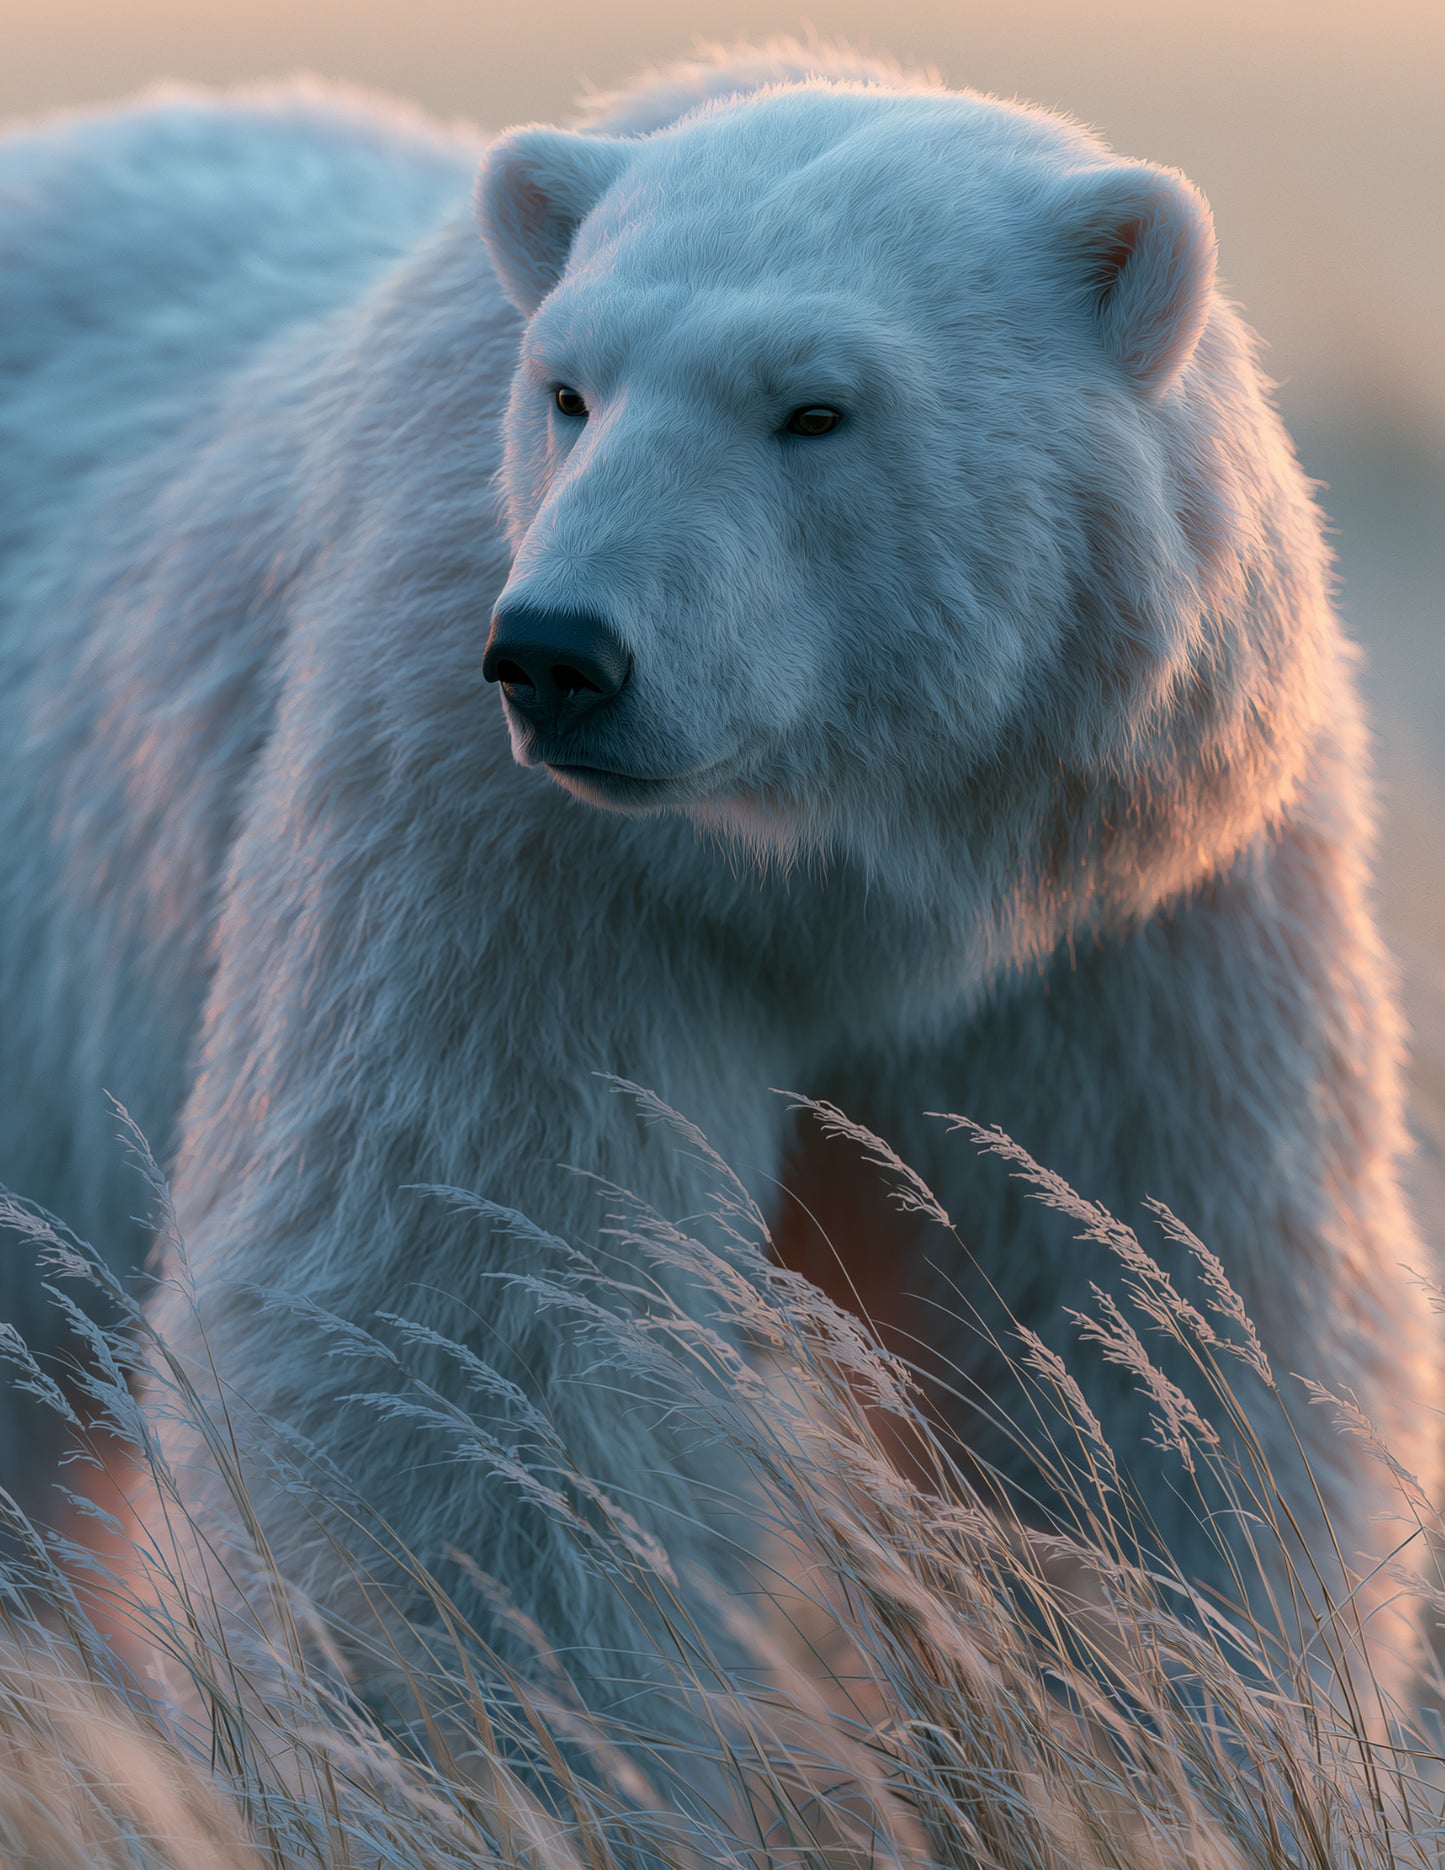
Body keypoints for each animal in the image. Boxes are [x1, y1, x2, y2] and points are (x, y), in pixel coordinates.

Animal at [0, 38, 1435, 1762]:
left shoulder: (1134, 914)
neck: (859, 876)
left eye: (814, 407)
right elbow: (478, 1324)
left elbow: (1156, 1325)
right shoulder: (519, 857)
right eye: (567, 388)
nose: (558, 652)